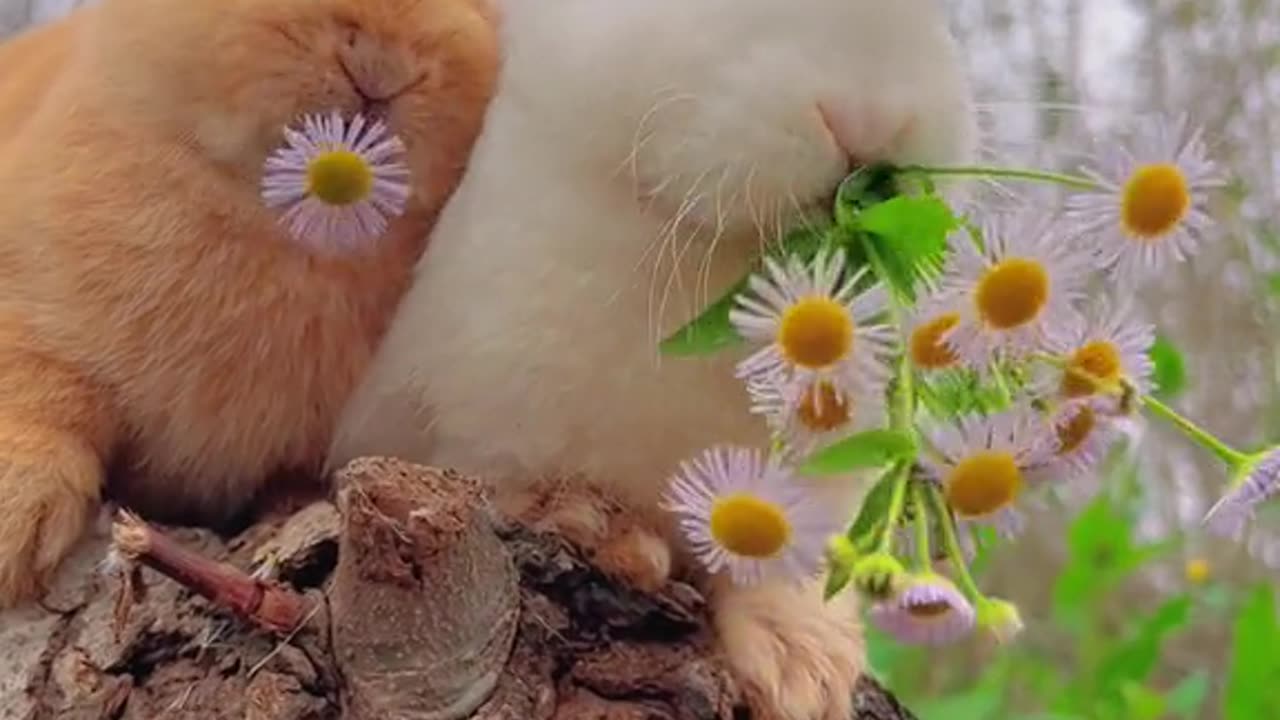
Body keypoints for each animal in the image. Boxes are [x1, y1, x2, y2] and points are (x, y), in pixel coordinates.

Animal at [332, 2, 977, 712]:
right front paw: (604, 533)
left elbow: (778, 554)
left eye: (942, 22)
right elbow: (526, 491)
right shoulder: (482, 432)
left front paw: (803, 673)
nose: (872, 119)